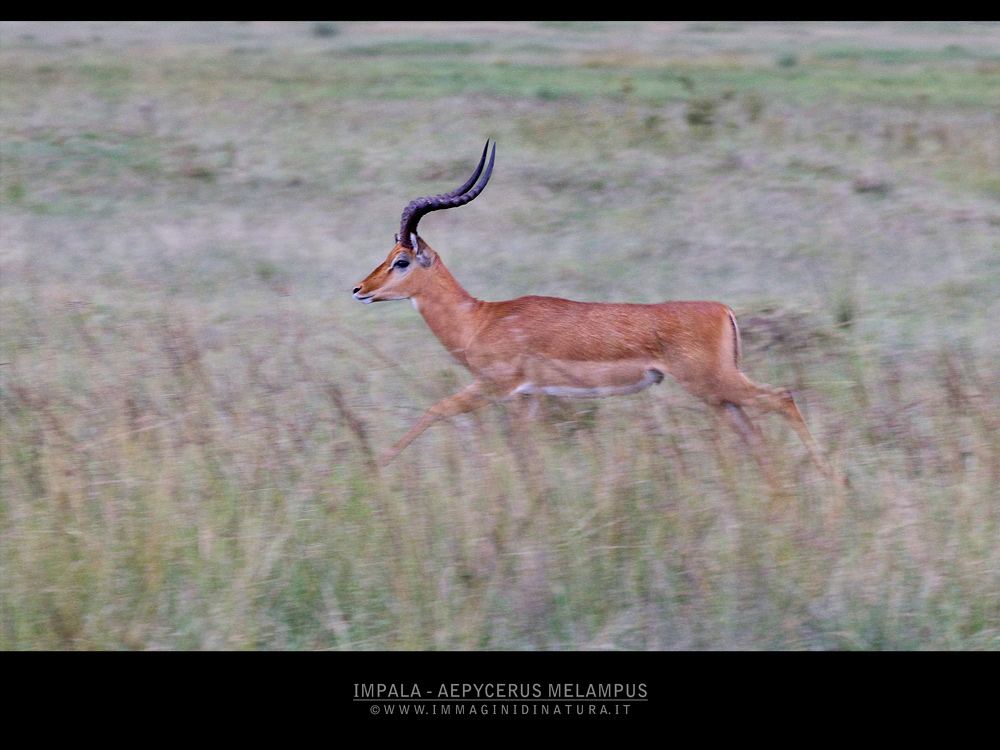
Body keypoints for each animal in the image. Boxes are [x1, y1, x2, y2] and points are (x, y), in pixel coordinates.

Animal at [353, 141, 834, 480]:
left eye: (401, 260)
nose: (359, 289)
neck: (481, 318)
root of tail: (722, 309)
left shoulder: (494, 386)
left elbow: (433, 411)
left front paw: (378, 464)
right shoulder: (530, 398)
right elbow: (524, 453)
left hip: (713, 384)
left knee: (782, 398)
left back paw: (832, 480)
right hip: (717, 395)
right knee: (754, 433)